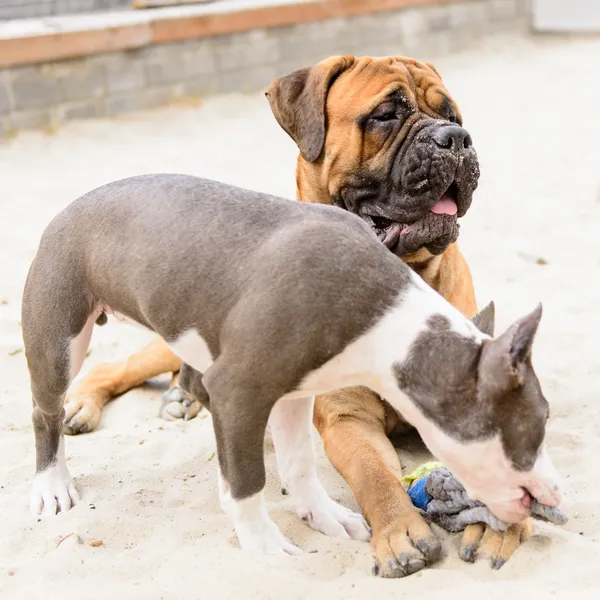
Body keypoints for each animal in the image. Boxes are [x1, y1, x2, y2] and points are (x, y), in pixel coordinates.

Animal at [19, 172, 564, 552]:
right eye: (533, 430)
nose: (556, 495)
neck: (389, 322)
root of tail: (70, 207)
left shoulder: (295, 392)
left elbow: (300, 463)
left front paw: (323, 516)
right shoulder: (241, 391)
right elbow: (246, 483)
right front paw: (263, 545)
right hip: (58, 340)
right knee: (47, 411)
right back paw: (53, 484)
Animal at [59, 55, 528, 576]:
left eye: (453, 115)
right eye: (386, 114)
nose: (456, 138)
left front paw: (499, 522)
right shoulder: (347, 419)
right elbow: (375, 476)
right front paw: (399, 529)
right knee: (117, 365)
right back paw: (85, 403)